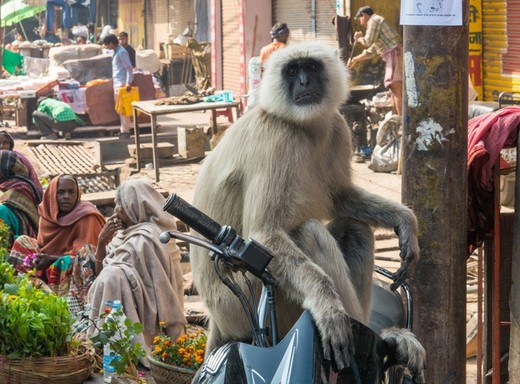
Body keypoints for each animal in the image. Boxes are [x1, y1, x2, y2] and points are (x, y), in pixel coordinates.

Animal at [189, 40, 424, 380]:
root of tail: (219, 321)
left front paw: (405, 221)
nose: (303, 82)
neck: (301, 125)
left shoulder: (337, 126)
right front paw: (328, 307)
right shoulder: (275, 138)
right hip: (256, 300)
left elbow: (341, 197)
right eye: (291, 71)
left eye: (310, 67)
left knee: (354, 228)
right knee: (309, 232)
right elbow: (265, 234)